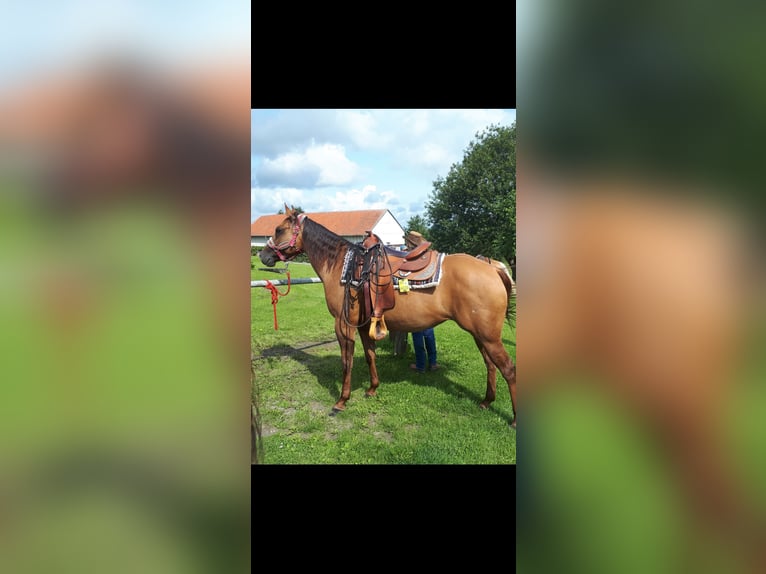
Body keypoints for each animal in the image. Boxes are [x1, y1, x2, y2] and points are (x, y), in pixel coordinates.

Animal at [259, 205, 517, 427]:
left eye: (279, 229)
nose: (263, 255)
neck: (342, 265)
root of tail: (492, 267)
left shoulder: (343, 324)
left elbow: (346, 361)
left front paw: (342, 400)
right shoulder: (364, 325)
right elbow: (370, 355)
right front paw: (372, 388)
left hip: (488, 336)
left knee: (508, 368)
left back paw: (513, 419)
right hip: (479, 334)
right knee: (490, 365)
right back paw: (486, 401)